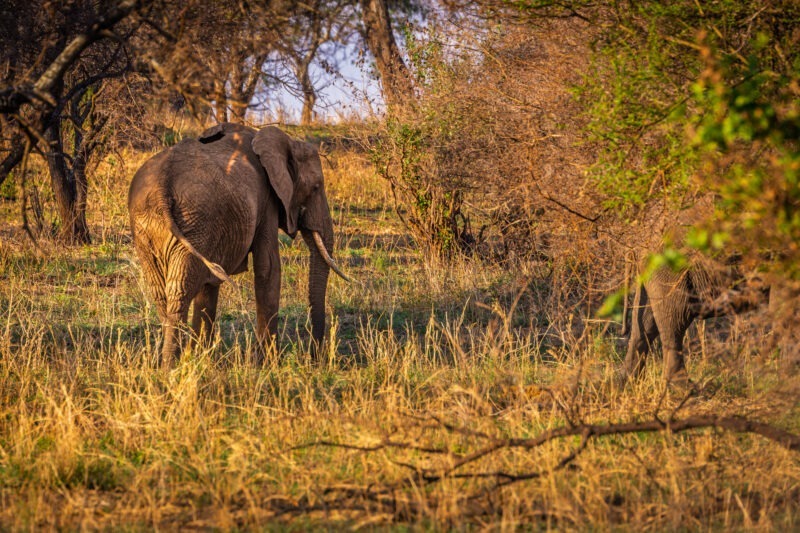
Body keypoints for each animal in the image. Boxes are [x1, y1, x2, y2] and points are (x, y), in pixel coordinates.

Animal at [128, 122, 346, 368]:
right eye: (316, 187)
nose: (314, 357)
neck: (285, 142)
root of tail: (161, 189)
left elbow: (209, 285)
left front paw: (202, 359)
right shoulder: (266, 199)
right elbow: (268, 268)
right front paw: (270, 364)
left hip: (155, 229)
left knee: (163, 293)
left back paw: (174, 365)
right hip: (187, 223)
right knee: (179, 291)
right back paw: (171, 368)